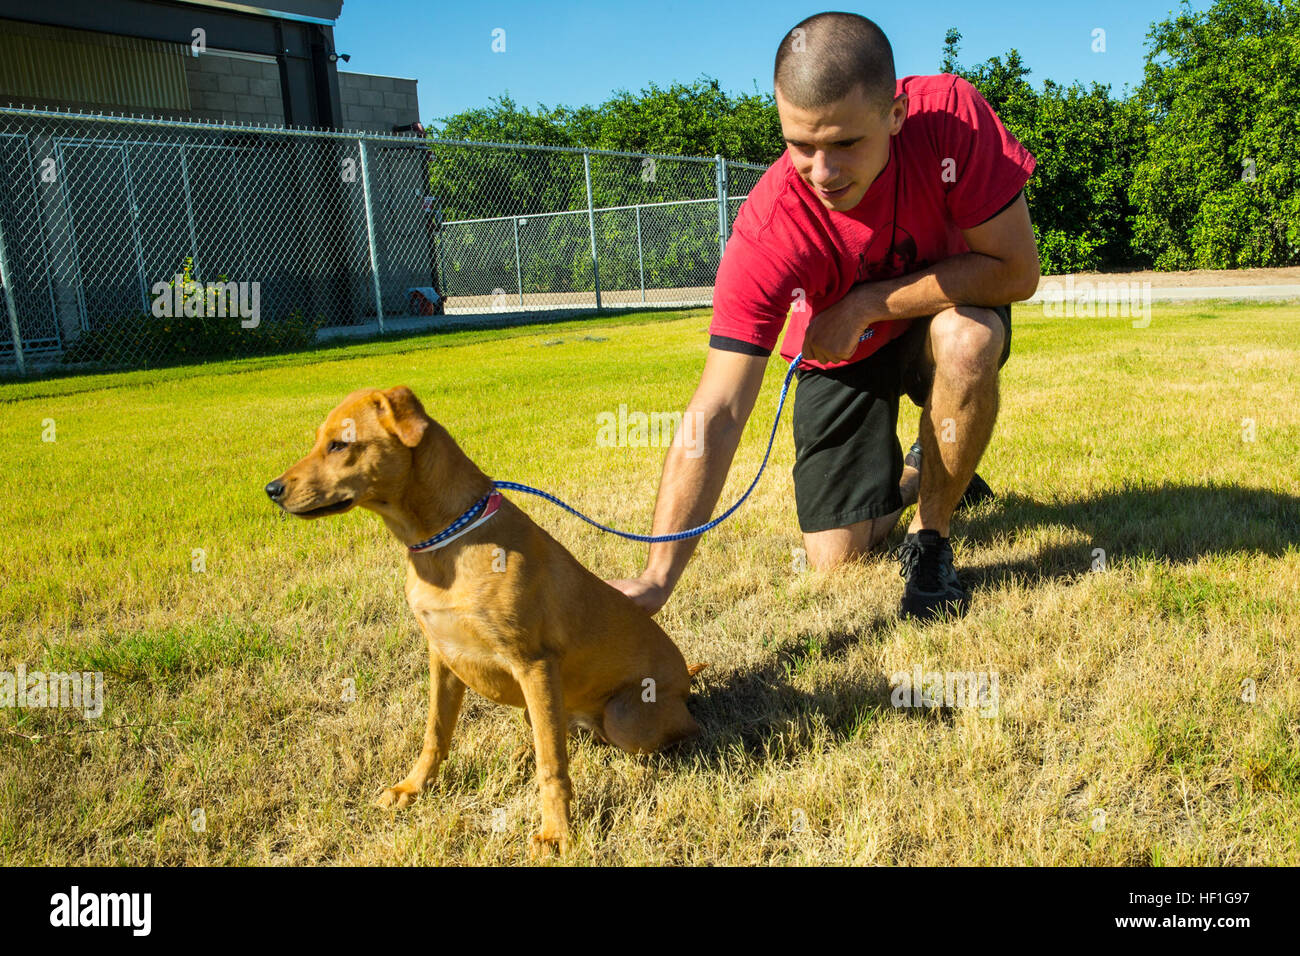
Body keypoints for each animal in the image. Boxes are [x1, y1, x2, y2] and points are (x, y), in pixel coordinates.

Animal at [265, 387, 707, 853]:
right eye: (318, 440)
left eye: (339, 444)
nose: (272, 489)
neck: (445, 544)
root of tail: (685, 678)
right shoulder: (442, 656)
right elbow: (436, 734)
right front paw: (412, 788)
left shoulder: (533, 664)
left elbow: (552, 767)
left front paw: (556, 832)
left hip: (626, 717)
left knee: (668, 729)